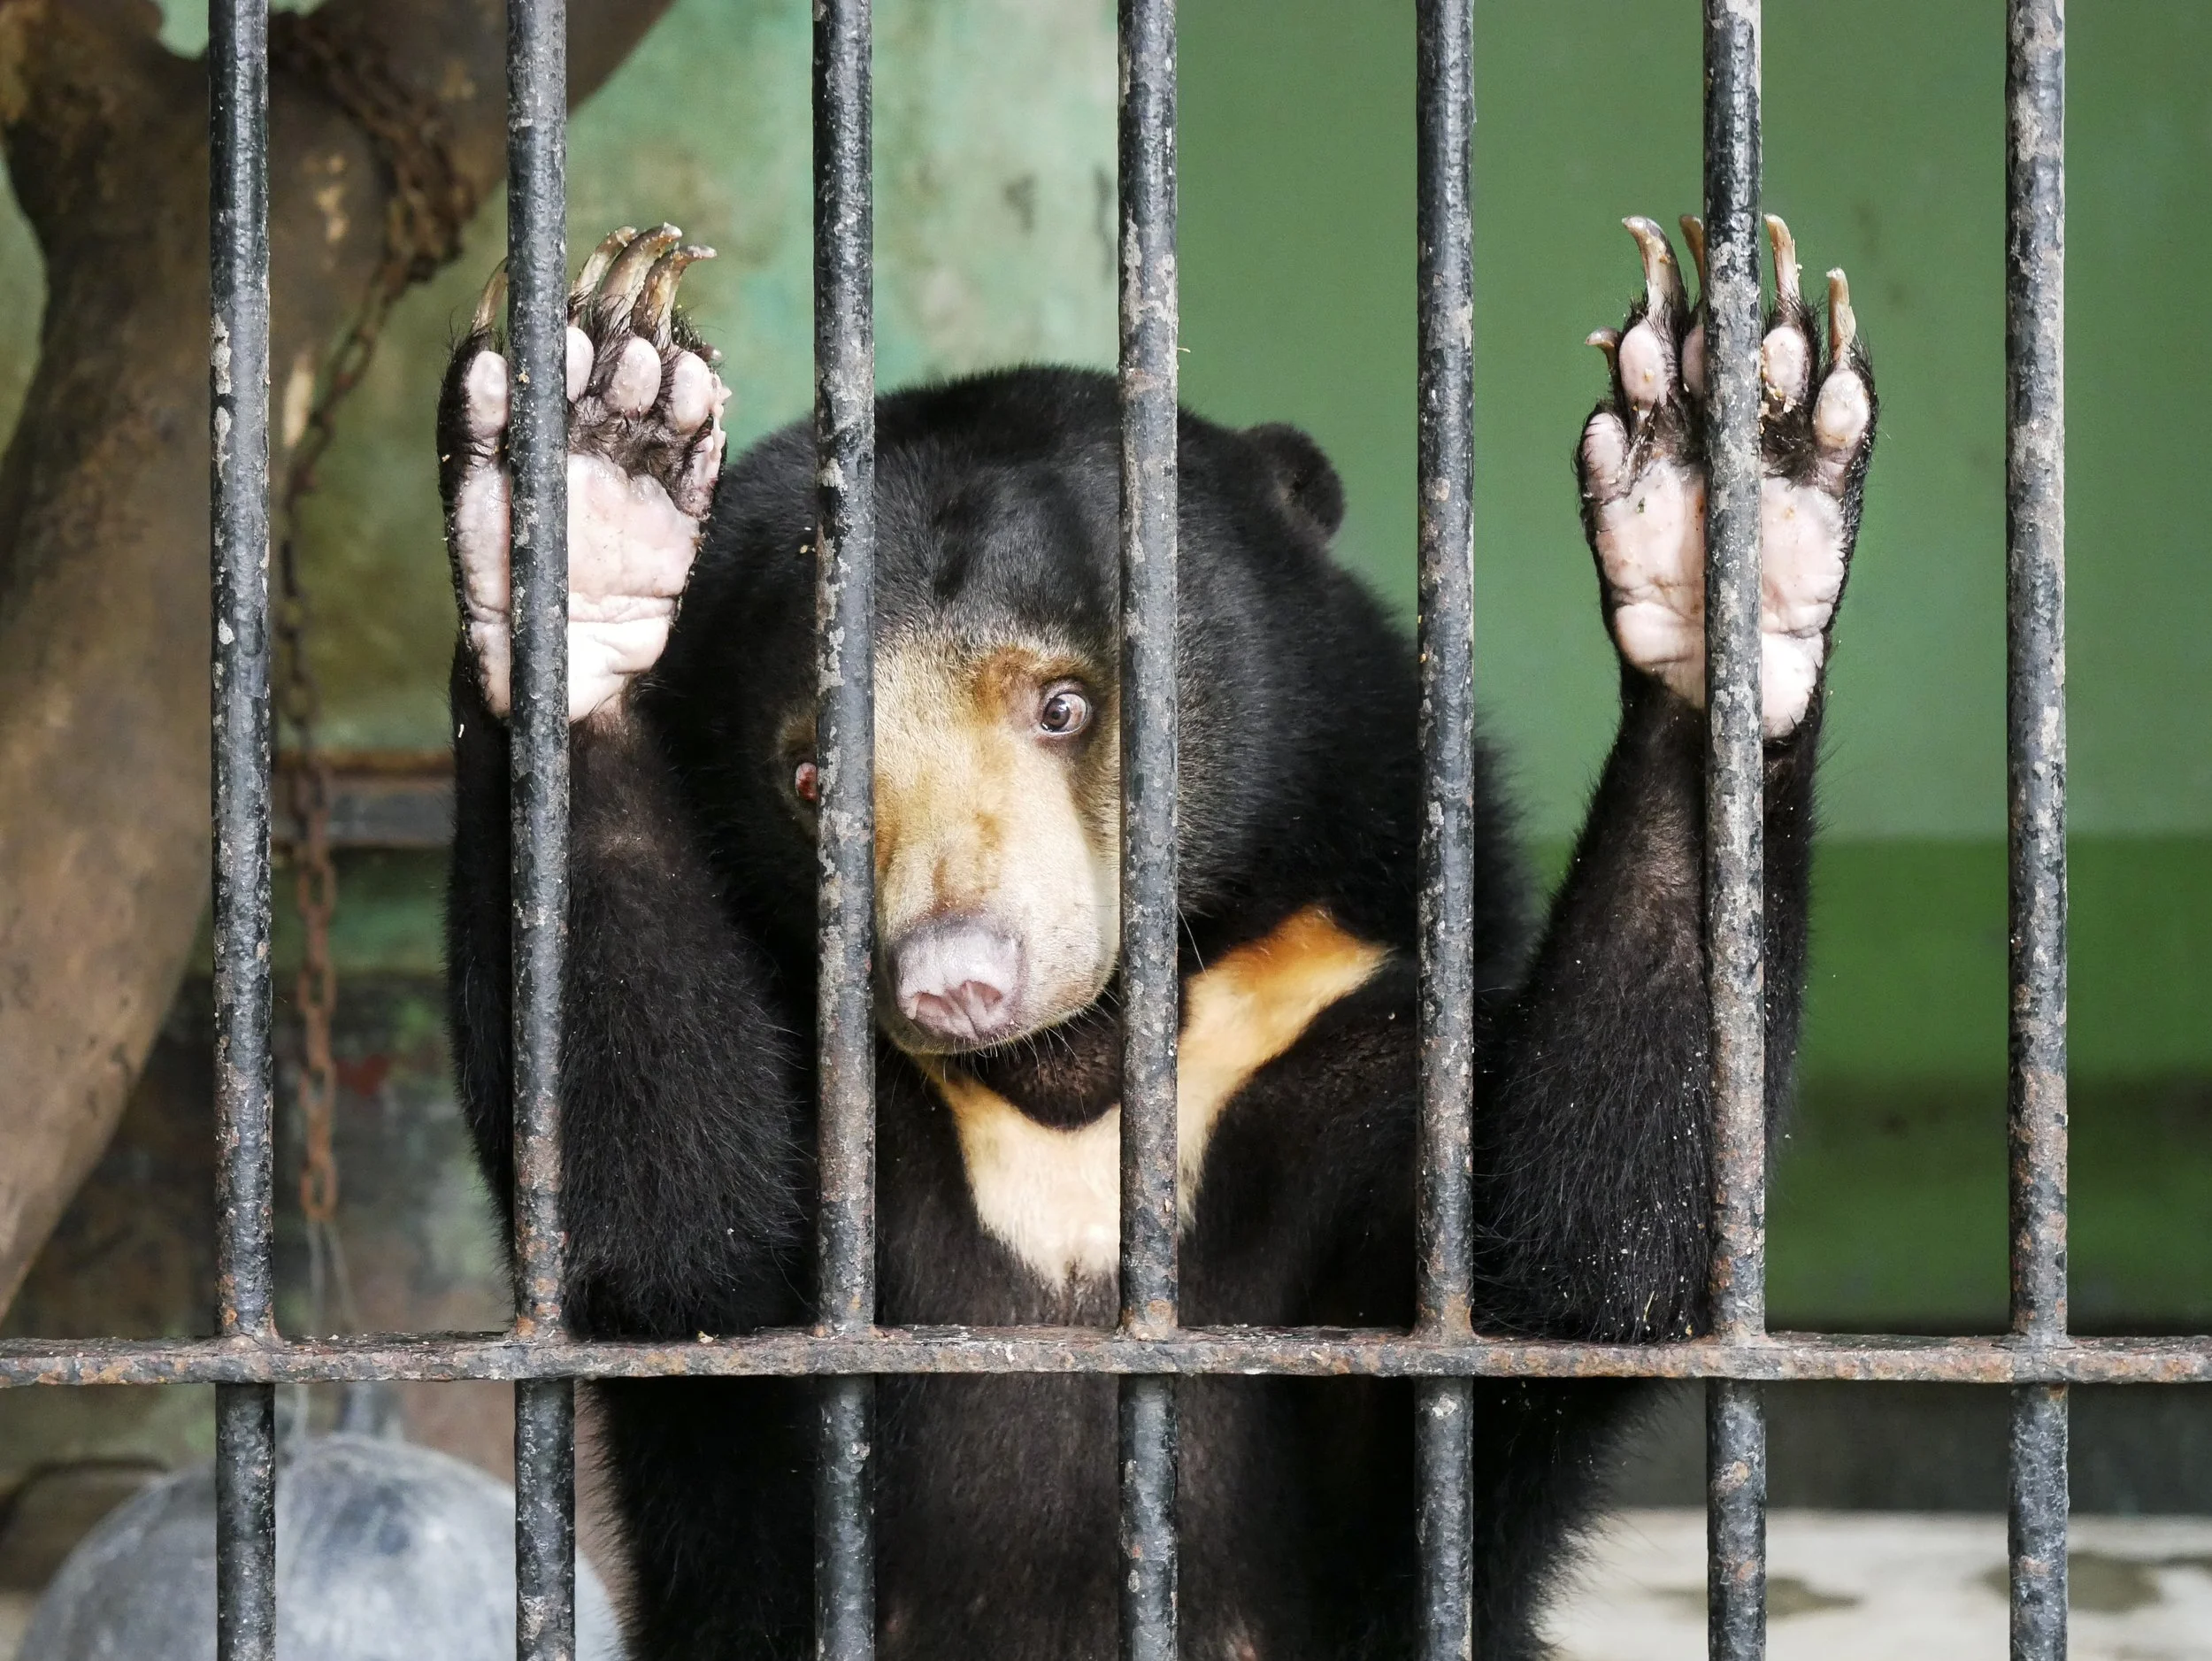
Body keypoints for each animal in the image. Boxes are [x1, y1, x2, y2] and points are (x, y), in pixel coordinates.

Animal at [437, 213, 1876, 1659]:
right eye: (812, 776)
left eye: (1064, 705)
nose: (958, 978)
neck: (1070, 1081)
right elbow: (673, 1233)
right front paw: (585, 471)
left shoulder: (1344, 1031)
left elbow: (1571, 1263)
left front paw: (1723, 471)